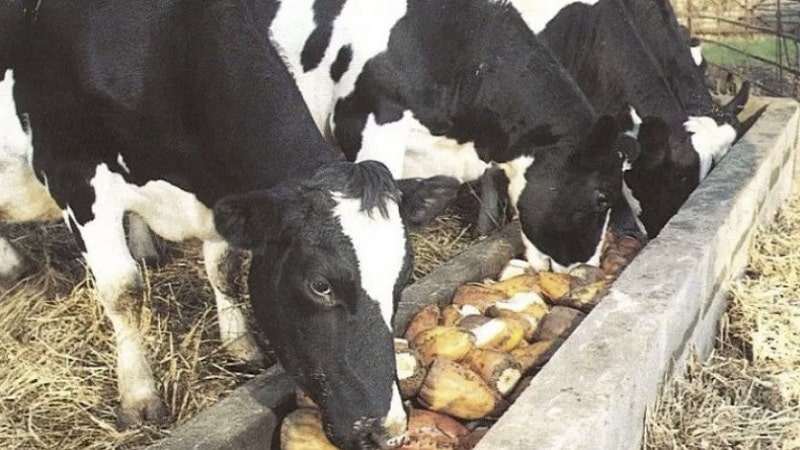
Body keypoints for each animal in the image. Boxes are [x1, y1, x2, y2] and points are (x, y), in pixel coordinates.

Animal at [0, 0, 438, 446]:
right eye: (321, 285)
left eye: (403, 280)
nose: (388, 432)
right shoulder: (74, 177)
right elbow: (123, 292)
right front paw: (139, 395)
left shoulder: (219, 193)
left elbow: (223, 268)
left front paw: (240, 344)